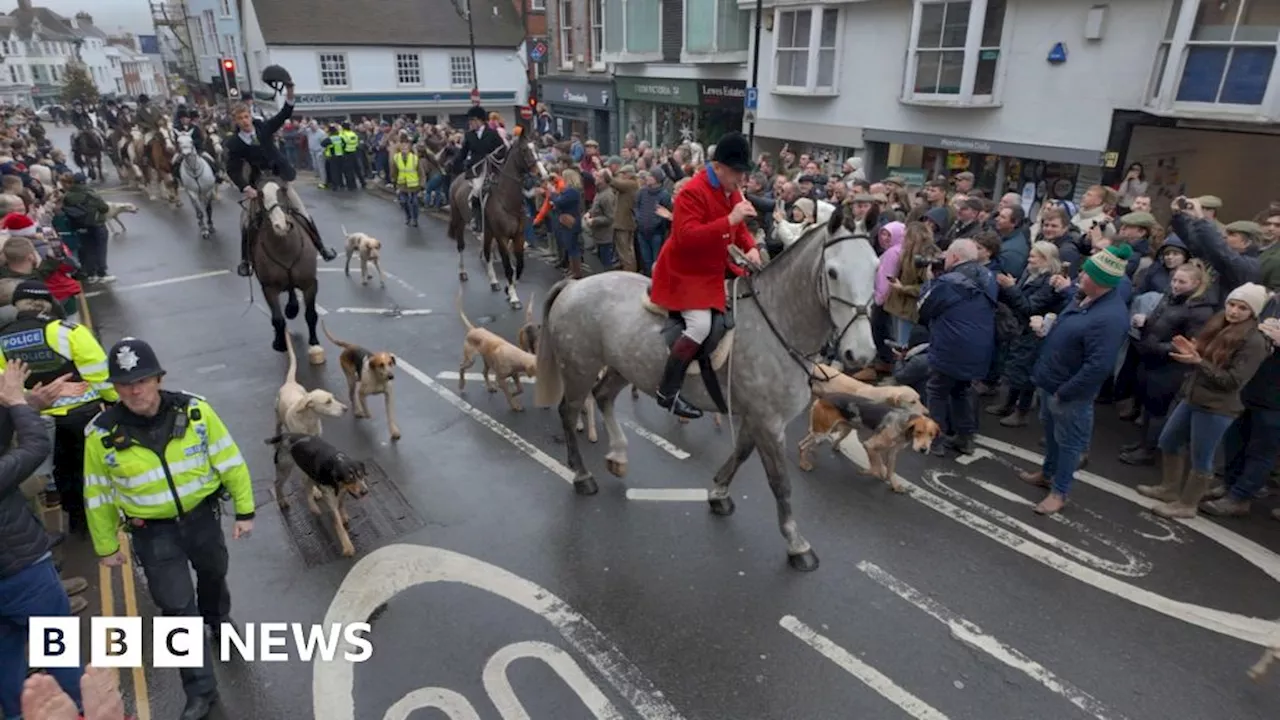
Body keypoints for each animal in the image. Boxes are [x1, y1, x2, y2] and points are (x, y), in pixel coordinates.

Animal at [245, 174, 322, 363]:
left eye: (284, 190)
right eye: (260, 194)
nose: (281, 225)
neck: (285, 247)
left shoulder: (310, 283)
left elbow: (311, 314)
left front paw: (314, 343)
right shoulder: (269, 288)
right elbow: (278, 319)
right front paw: (279, 343)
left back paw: (293, 308)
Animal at [448, 140, 547, 308]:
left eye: (537, 148)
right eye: (525, 150)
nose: (543, 174)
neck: (508, 200)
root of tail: (458, 178)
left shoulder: (518, 236)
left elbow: (519, 266)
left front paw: (509, 289)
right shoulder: (502, 237)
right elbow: (508, 267)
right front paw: (514, 297)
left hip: (488, 231)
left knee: (487, 253)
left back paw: (493, 281)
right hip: (460, 220)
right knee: (461, 246)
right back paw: (462, 272)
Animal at [532, 202, 880, 566]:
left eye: (876, 268)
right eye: (833, 272)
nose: (861, 353)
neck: (780, 325)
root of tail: (574, 285)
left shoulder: (758, 417)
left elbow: (741, 454)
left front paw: (719, 493)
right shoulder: (768, 421)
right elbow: (780, 482)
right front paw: (797, 544)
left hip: (621, 367)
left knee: (602, 397)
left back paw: (618, 456)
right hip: (579, 368)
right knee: (569, 412)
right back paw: (583, 475)